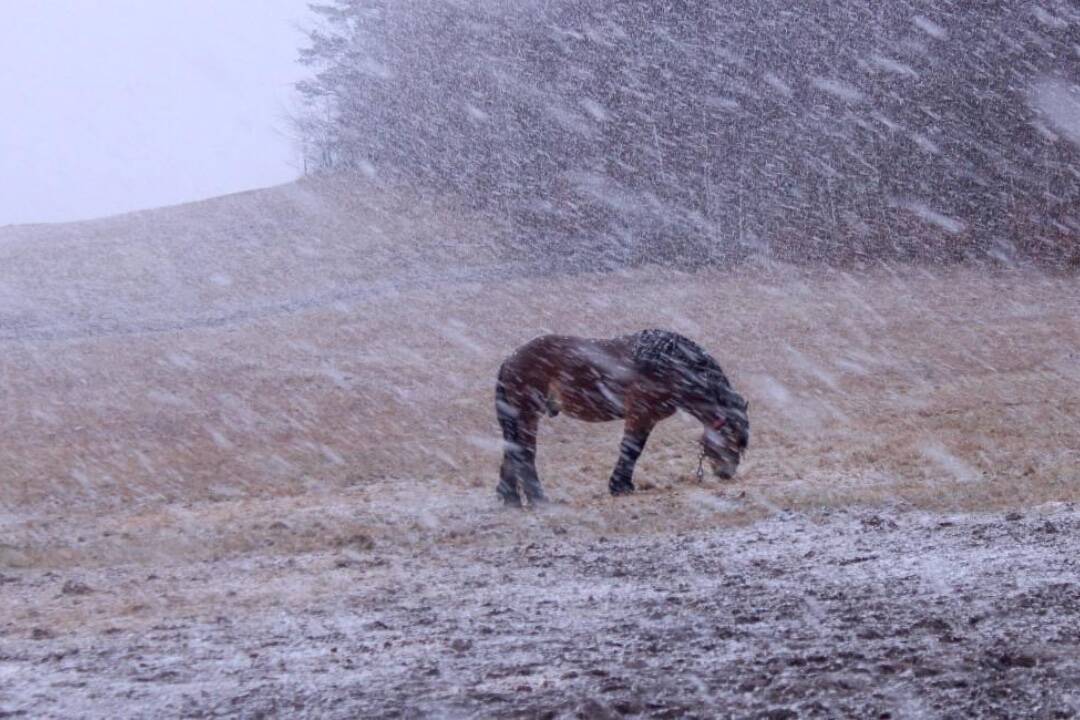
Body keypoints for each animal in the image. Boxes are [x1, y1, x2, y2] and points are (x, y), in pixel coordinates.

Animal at [494, 328, 751, 507]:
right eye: (732, 438)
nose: (726, 474)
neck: (669, 365)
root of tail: (510, 359)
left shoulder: (648, 418)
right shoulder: (640, 415)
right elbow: (631, 449)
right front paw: (620, 486)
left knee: (512, 451)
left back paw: (511, 499)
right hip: (528, 415)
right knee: (524, 453)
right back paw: (538, 499)